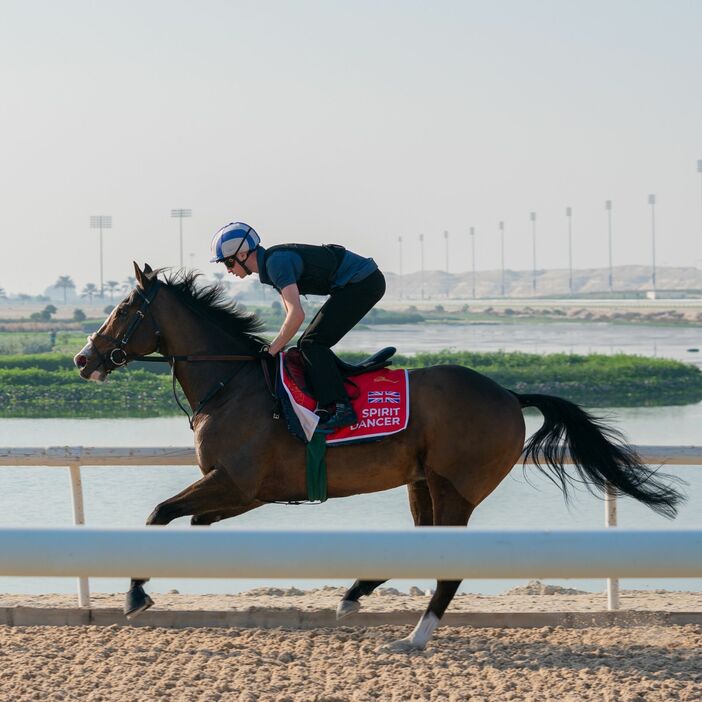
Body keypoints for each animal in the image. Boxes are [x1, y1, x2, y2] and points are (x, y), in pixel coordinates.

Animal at [73, 264, 680, 656]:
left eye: (123, 308)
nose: (82, 358)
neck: (233, 384)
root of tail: (510, 394)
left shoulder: (237, 484)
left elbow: (158, 513)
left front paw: (134, 594)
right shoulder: (241, 495)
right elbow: (183, 520)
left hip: (457, 487)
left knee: (448, 568)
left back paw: (414, 637)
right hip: (421, 482)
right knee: (418, 547)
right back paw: (354, 595)